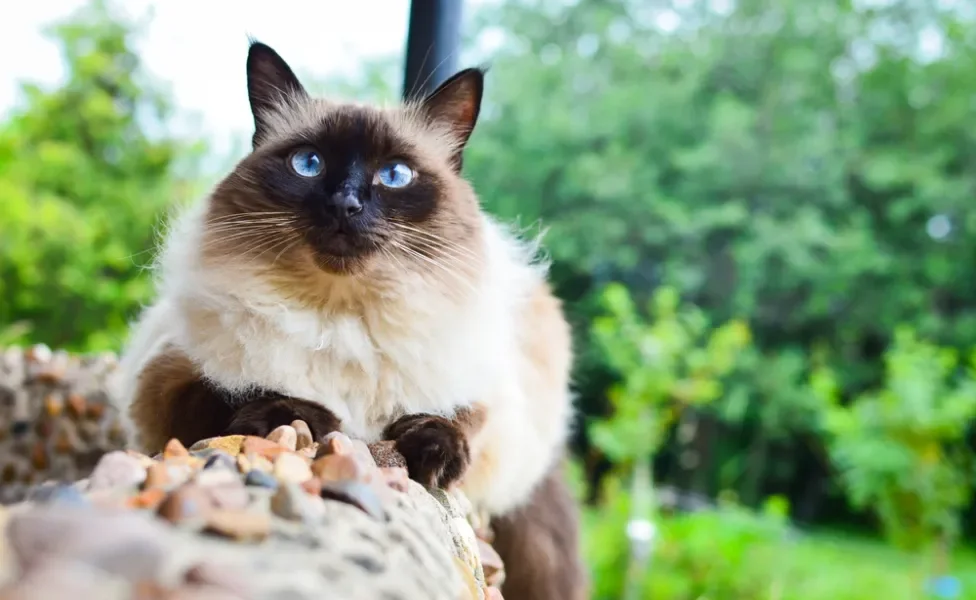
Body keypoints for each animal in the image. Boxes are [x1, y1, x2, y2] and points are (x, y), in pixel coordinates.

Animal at [114, 39, 588, 596]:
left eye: (395, 175)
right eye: (309, 163)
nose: (346, 203)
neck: (340, 319)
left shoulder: (490, 400)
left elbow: (459, 419)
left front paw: (429, 451)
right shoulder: (165, 382)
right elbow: (230, 392)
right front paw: (302, 418)